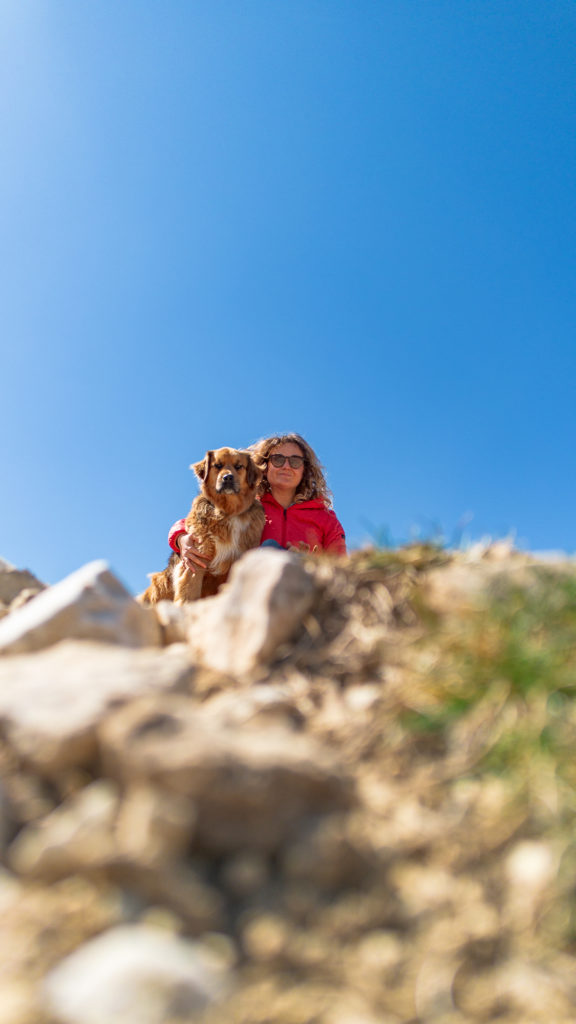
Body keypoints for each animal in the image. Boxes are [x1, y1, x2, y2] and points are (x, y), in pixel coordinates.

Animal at [139, 446, 264, 602]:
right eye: (218, 465)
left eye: (238, 466)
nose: (228, 478)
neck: (227, 511)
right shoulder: (195, 560)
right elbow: (188, 595)